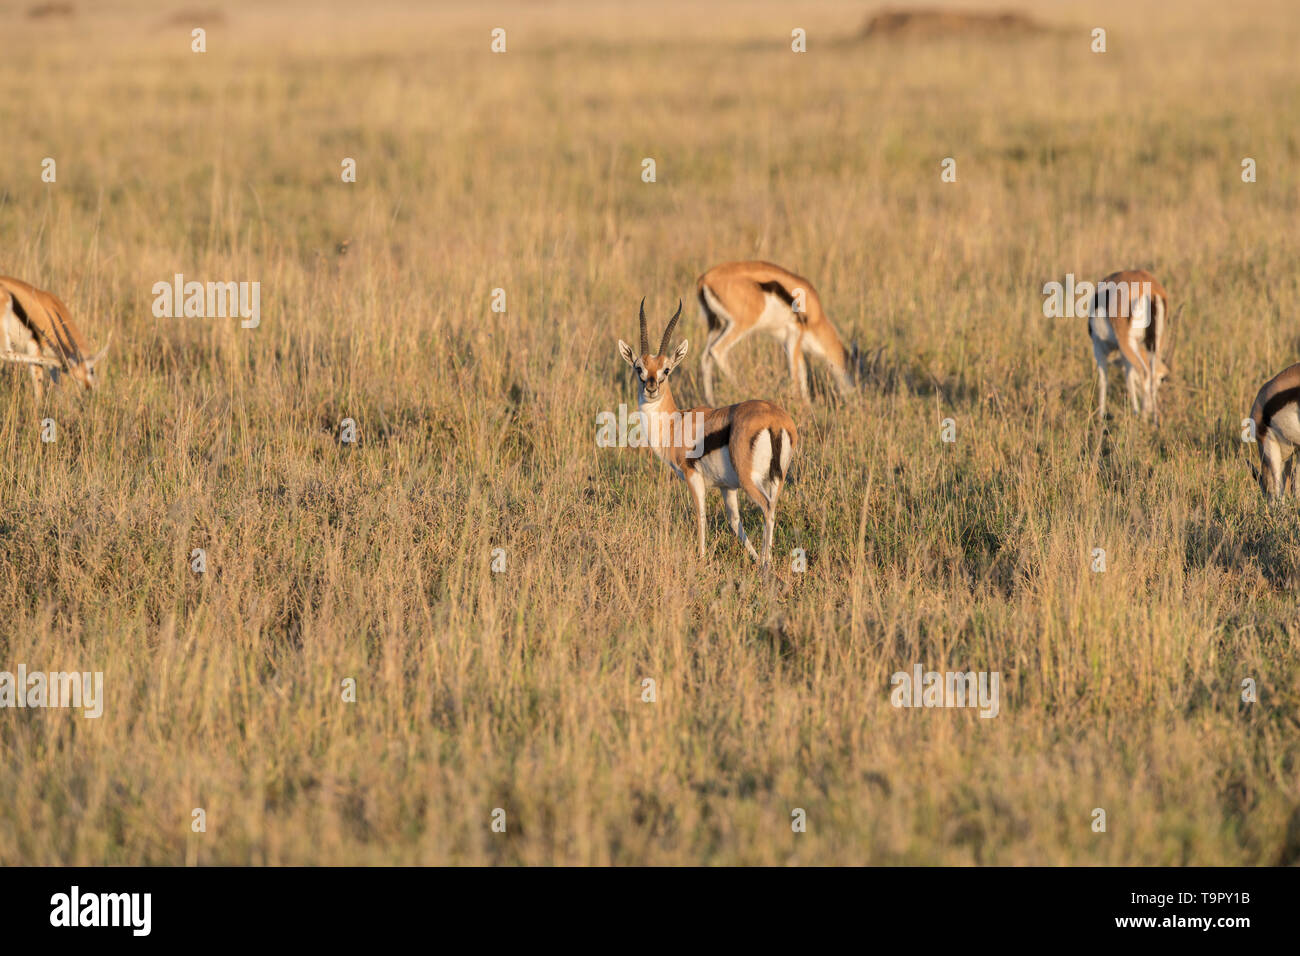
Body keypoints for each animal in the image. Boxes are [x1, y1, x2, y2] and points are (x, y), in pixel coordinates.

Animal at [618, 298, 798, 571]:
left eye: (666, 370)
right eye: (639, 367)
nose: (651, 387)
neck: (675, 424)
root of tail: (776, 421)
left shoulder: (693, 476)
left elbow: (700, 514)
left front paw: (701, 558)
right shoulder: (727, 486)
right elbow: (735, 522)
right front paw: (754, 557)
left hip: (750, 480)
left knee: (767, 507)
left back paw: (767, 564)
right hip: (776, 478)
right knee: (774, 506)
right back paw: (765, 560)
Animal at [695, 261, 857, 405]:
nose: (854, 395)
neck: (815, 315)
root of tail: (705, 279)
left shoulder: (789, 341)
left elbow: (802, 371)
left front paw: (807, 404)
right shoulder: (795, 334)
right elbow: (795, 372)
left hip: (717, 326)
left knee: (705, 357)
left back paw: (711, 402)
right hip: (742, 324)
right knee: (717, 350)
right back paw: (744, 389)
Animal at [1087, 269, 1171, 423]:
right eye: (1162, 380)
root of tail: (1153, 291)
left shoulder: (1098, 347)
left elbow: (1103, 380)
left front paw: (1100, 418)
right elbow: (1129, 379)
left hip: (1127, 342)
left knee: (1144, 372)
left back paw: (1143, 418)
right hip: (1154, 343)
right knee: (1151, 372)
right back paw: (1155, 420)